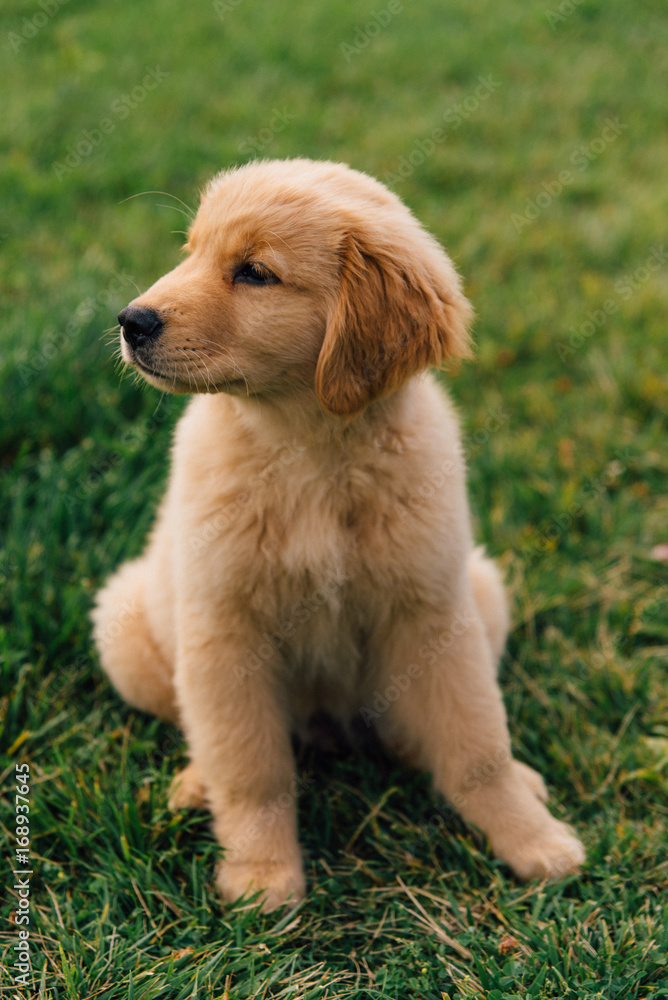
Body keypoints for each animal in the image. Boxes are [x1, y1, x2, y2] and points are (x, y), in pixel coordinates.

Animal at [92, 158, 584, 916]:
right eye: (191, 252)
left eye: (254, 272)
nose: (130, 321)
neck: (312, 452)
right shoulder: (225, 630)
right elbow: (251, 768)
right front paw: (262, 878)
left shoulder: (434, 611)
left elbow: (477, 747)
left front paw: (533, 839)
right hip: (127, 629)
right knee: (204, 731)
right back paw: (197, 784)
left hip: (483, 592)